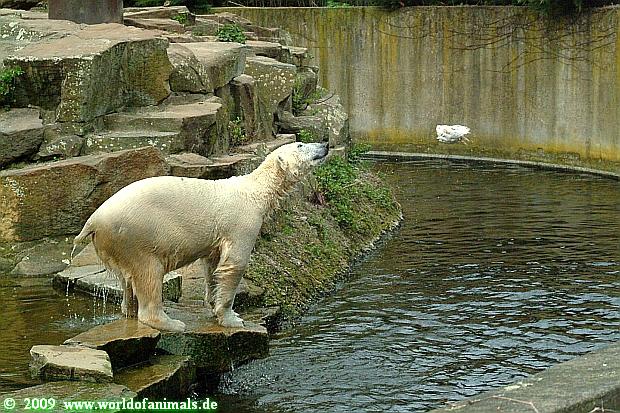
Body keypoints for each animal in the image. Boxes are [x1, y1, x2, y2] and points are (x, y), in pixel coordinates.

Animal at [73, 142, 329, 332]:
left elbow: (212, 264)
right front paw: (232, 318)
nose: (325, 144)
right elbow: (234, 264)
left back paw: (130, 309)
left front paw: (213, 302)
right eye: (301, 144)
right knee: (148, 273)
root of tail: (93, 221)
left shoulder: (218, 235)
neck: (254, 191)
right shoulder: (242, 221)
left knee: (127, 280)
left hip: (118, 243)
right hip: (136, 235)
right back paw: (172, 323)